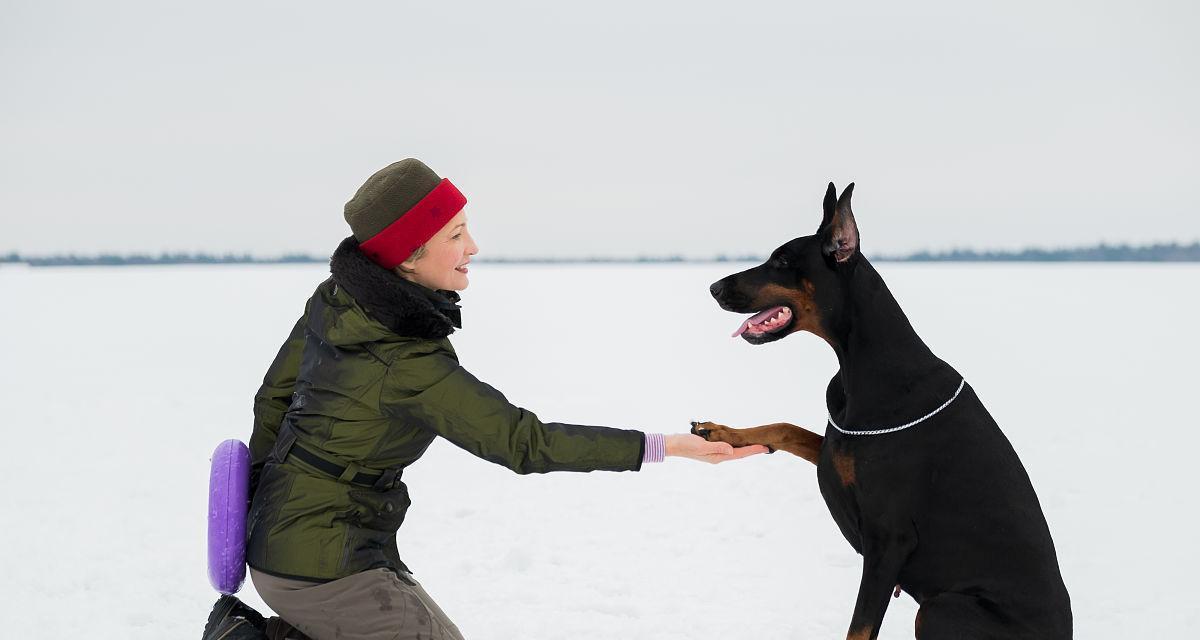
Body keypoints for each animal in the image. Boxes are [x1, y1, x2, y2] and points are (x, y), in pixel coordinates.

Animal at [691, 182, 1075, 633]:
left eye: (782, 260)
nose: (714, 287)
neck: (862, 363)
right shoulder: (836, 448)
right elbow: (787, 428)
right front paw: (721, 432)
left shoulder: (889, 541)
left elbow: (858, 629)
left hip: (941, 607)